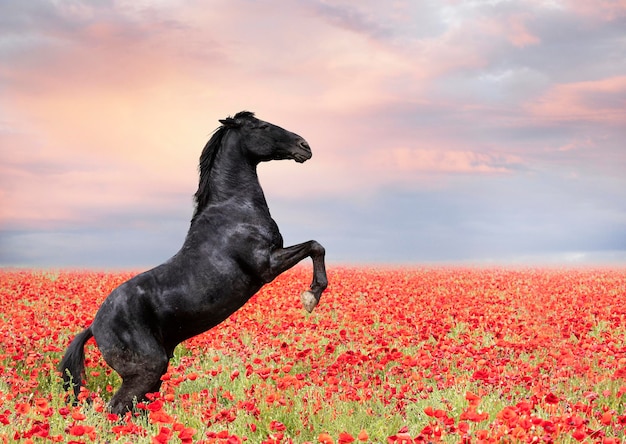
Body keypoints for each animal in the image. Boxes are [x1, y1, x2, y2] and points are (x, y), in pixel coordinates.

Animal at [58, 110, 326, 412]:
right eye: (262, 126)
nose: (304, 146)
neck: (234, 209)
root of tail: (94, 326)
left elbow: (315, 247)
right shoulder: (266, 265)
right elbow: (315, 246)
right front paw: (310, 298)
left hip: (156, 374)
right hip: (147, 369)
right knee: (115, 409)